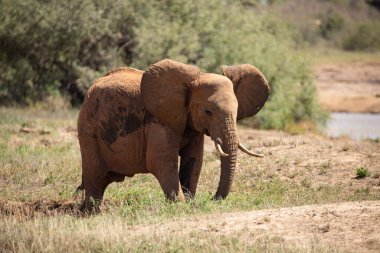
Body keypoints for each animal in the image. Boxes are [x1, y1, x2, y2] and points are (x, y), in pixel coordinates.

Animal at [76, 59, 268, 211]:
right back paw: (92, 213)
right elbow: (160, 161)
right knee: (95, 175)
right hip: (88, 130)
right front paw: (182, 206)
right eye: (208, 111)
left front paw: (190, 203)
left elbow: (194, 160)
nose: (212, 198)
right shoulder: (159, 122)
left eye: (237, 111)